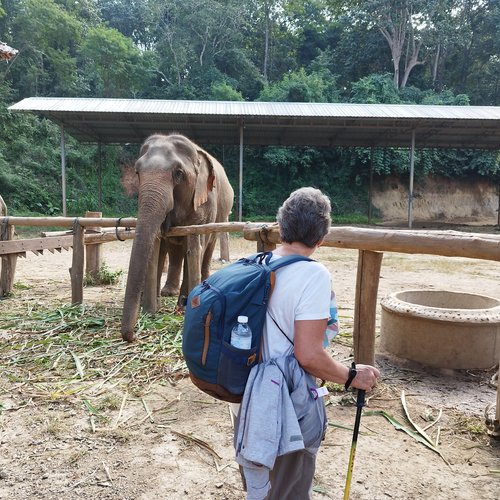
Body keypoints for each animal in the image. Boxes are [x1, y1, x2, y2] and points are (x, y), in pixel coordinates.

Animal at [121, 133, 234, 342]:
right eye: (137, 172)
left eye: (179, 174)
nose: (132, 336)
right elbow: (157, 246)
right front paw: (151, 306)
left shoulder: (206, 202)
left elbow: (196, 243)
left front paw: (183, 305)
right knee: (175, 251)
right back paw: (167, 292)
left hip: (222, 216)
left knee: (207, 248)